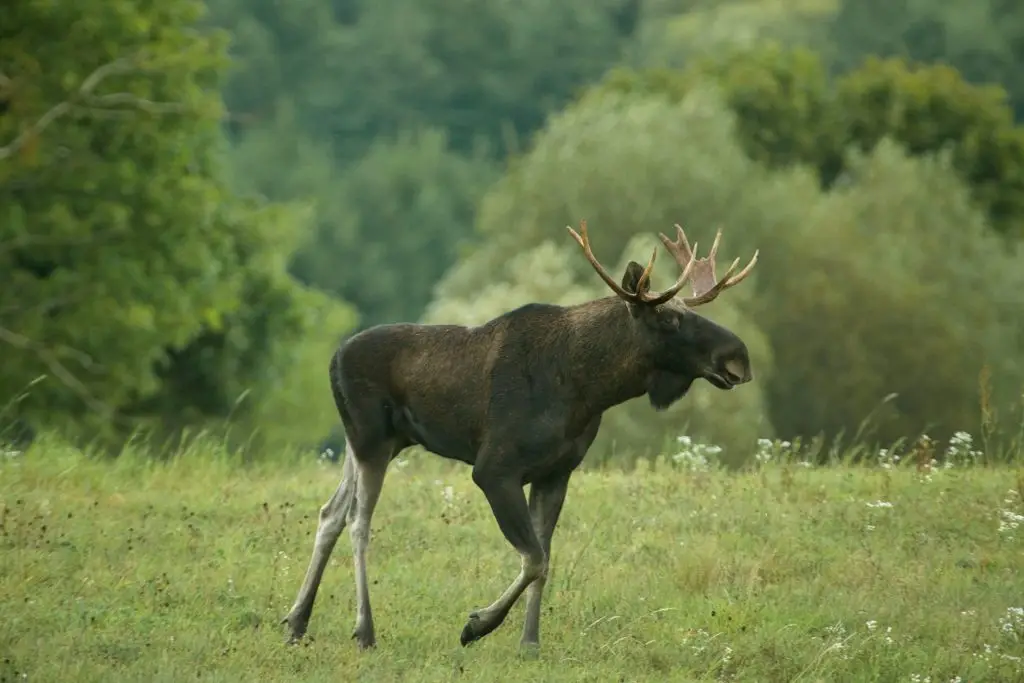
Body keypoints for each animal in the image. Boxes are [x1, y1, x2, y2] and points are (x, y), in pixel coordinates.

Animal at [281, 220, 759, 651]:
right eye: (669, 317)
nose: (740, 357)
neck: (589, 389)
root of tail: (333, 358)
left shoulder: (556, 472)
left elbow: (545, 559)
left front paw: (529, 642)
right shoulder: (494, 468)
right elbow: (533, 558)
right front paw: (477, 625)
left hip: (372, 442)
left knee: (330, 513)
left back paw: (297, 621)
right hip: (371, 439)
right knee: (358, 520)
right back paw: (364, 631)